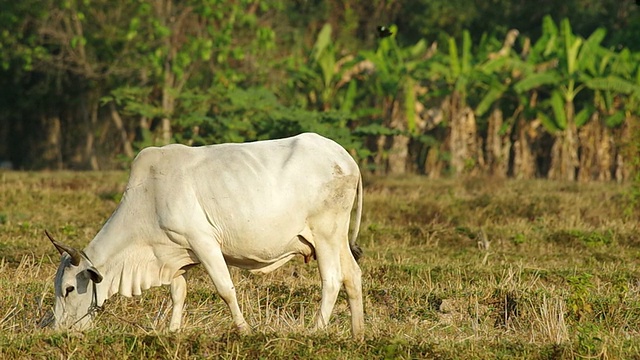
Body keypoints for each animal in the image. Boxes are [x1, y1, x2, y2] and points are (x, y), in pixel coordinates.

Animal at [48, 132, 364, 338]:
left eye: (69, 289)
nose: (58, 330)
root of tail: (345, 158)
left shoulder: (203, 243)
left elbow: (225, 289)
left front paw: (244, 330)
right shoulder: (175, 253)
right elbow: (178, 294)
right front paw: (173, 331)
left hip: (325, 233)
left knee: (332, 279)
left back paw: (315, 330)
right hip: (337, 237)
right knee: (352, 276)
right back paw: (357, 334)